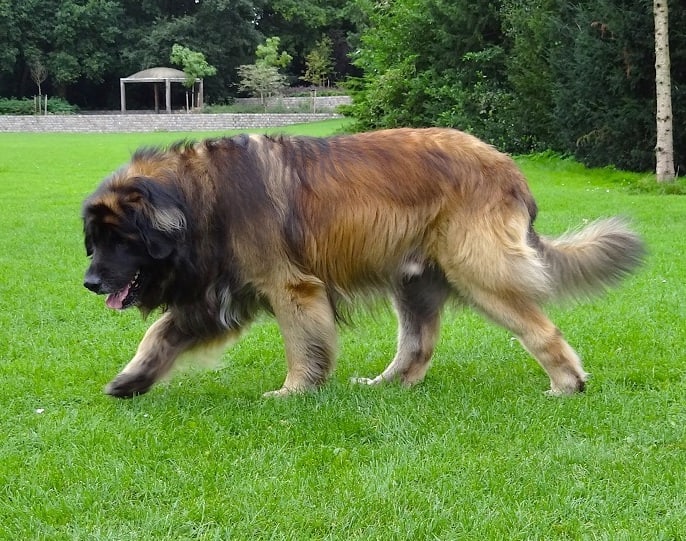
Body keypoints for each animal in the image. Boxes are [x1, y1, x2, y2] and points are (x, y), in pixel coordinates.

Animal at [83, 126, 648, 396]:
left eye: (120, 239)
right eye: (93, 241)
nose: (89, 282)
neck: (202, 196)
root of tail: (508, 167)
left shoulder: (292, 289)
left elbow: (302, 346)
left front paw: (294, 391)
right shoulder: (218, 294)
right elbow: (161, 334)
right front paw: (130, 381)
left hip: (479, 272)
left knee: (539, 328)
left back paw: (567, 385)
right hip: (413, 280)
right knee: (418, 344)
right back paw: (387, 384)